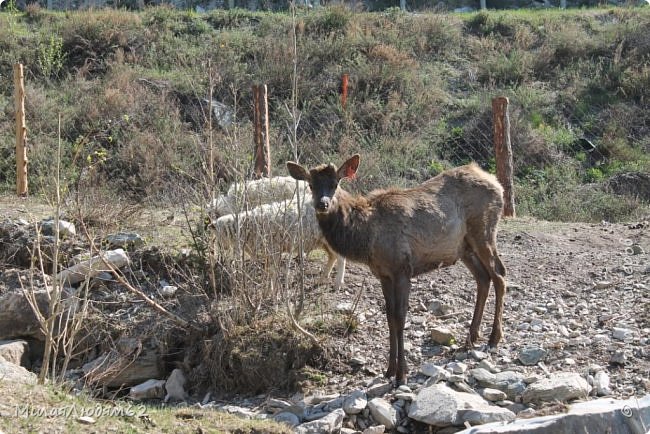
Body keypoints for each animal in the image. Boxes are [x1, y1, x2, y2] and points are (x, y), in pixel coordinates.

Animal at [211, 195, 344, 290]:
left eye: (219, 235)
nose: (223, 248)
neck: (247, 227)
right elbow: (268, 270)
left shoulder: (274, 249)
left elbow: (272, 272)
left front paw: (272, 290)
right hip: (323, 241)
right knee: (332, 256)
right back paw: (322, 278)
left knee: (341, 258)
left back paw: (338, 283)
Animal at [284, 154, 506, 384]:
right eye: (311, 184)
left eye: (335, 183)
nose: (322, 204)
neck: (366, 237)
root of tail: (497, 183)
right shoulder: (383, 274)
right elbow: (389, 316)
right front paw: (389, 370)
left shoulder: (402, 269)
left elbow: (400, 316)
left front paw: (402, 374)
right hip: (464, 247)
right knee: (483, 278)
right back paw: (471, 337)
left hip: (484, 231)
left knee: (499, 275)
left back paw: (493, 337)